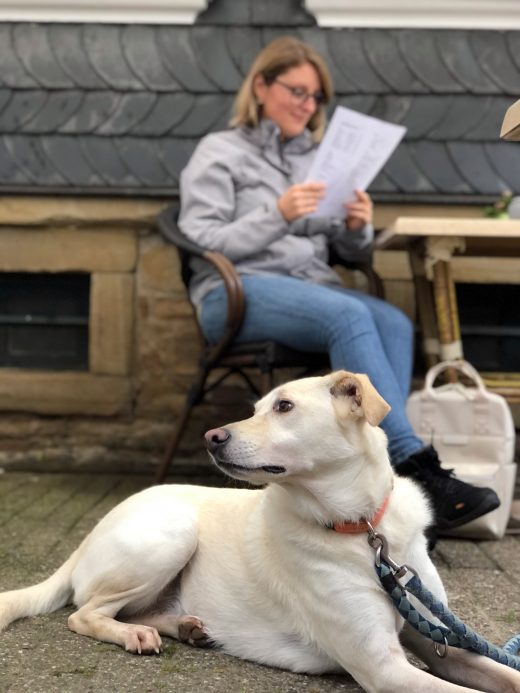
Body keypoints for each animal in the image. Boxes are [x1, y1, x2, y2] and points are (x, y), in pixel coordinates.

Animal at [1, 374, 520, 692]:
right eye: (256, 408)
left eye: (284, 406)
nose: (211, 436)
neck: (360, 531)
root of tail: (90, 533)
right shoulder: (383, 666)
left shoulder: (439, 643)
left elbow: (502, 675)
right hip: (171, 533)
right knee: (84, 613)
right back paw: (135, 634)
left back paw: (185, 627)